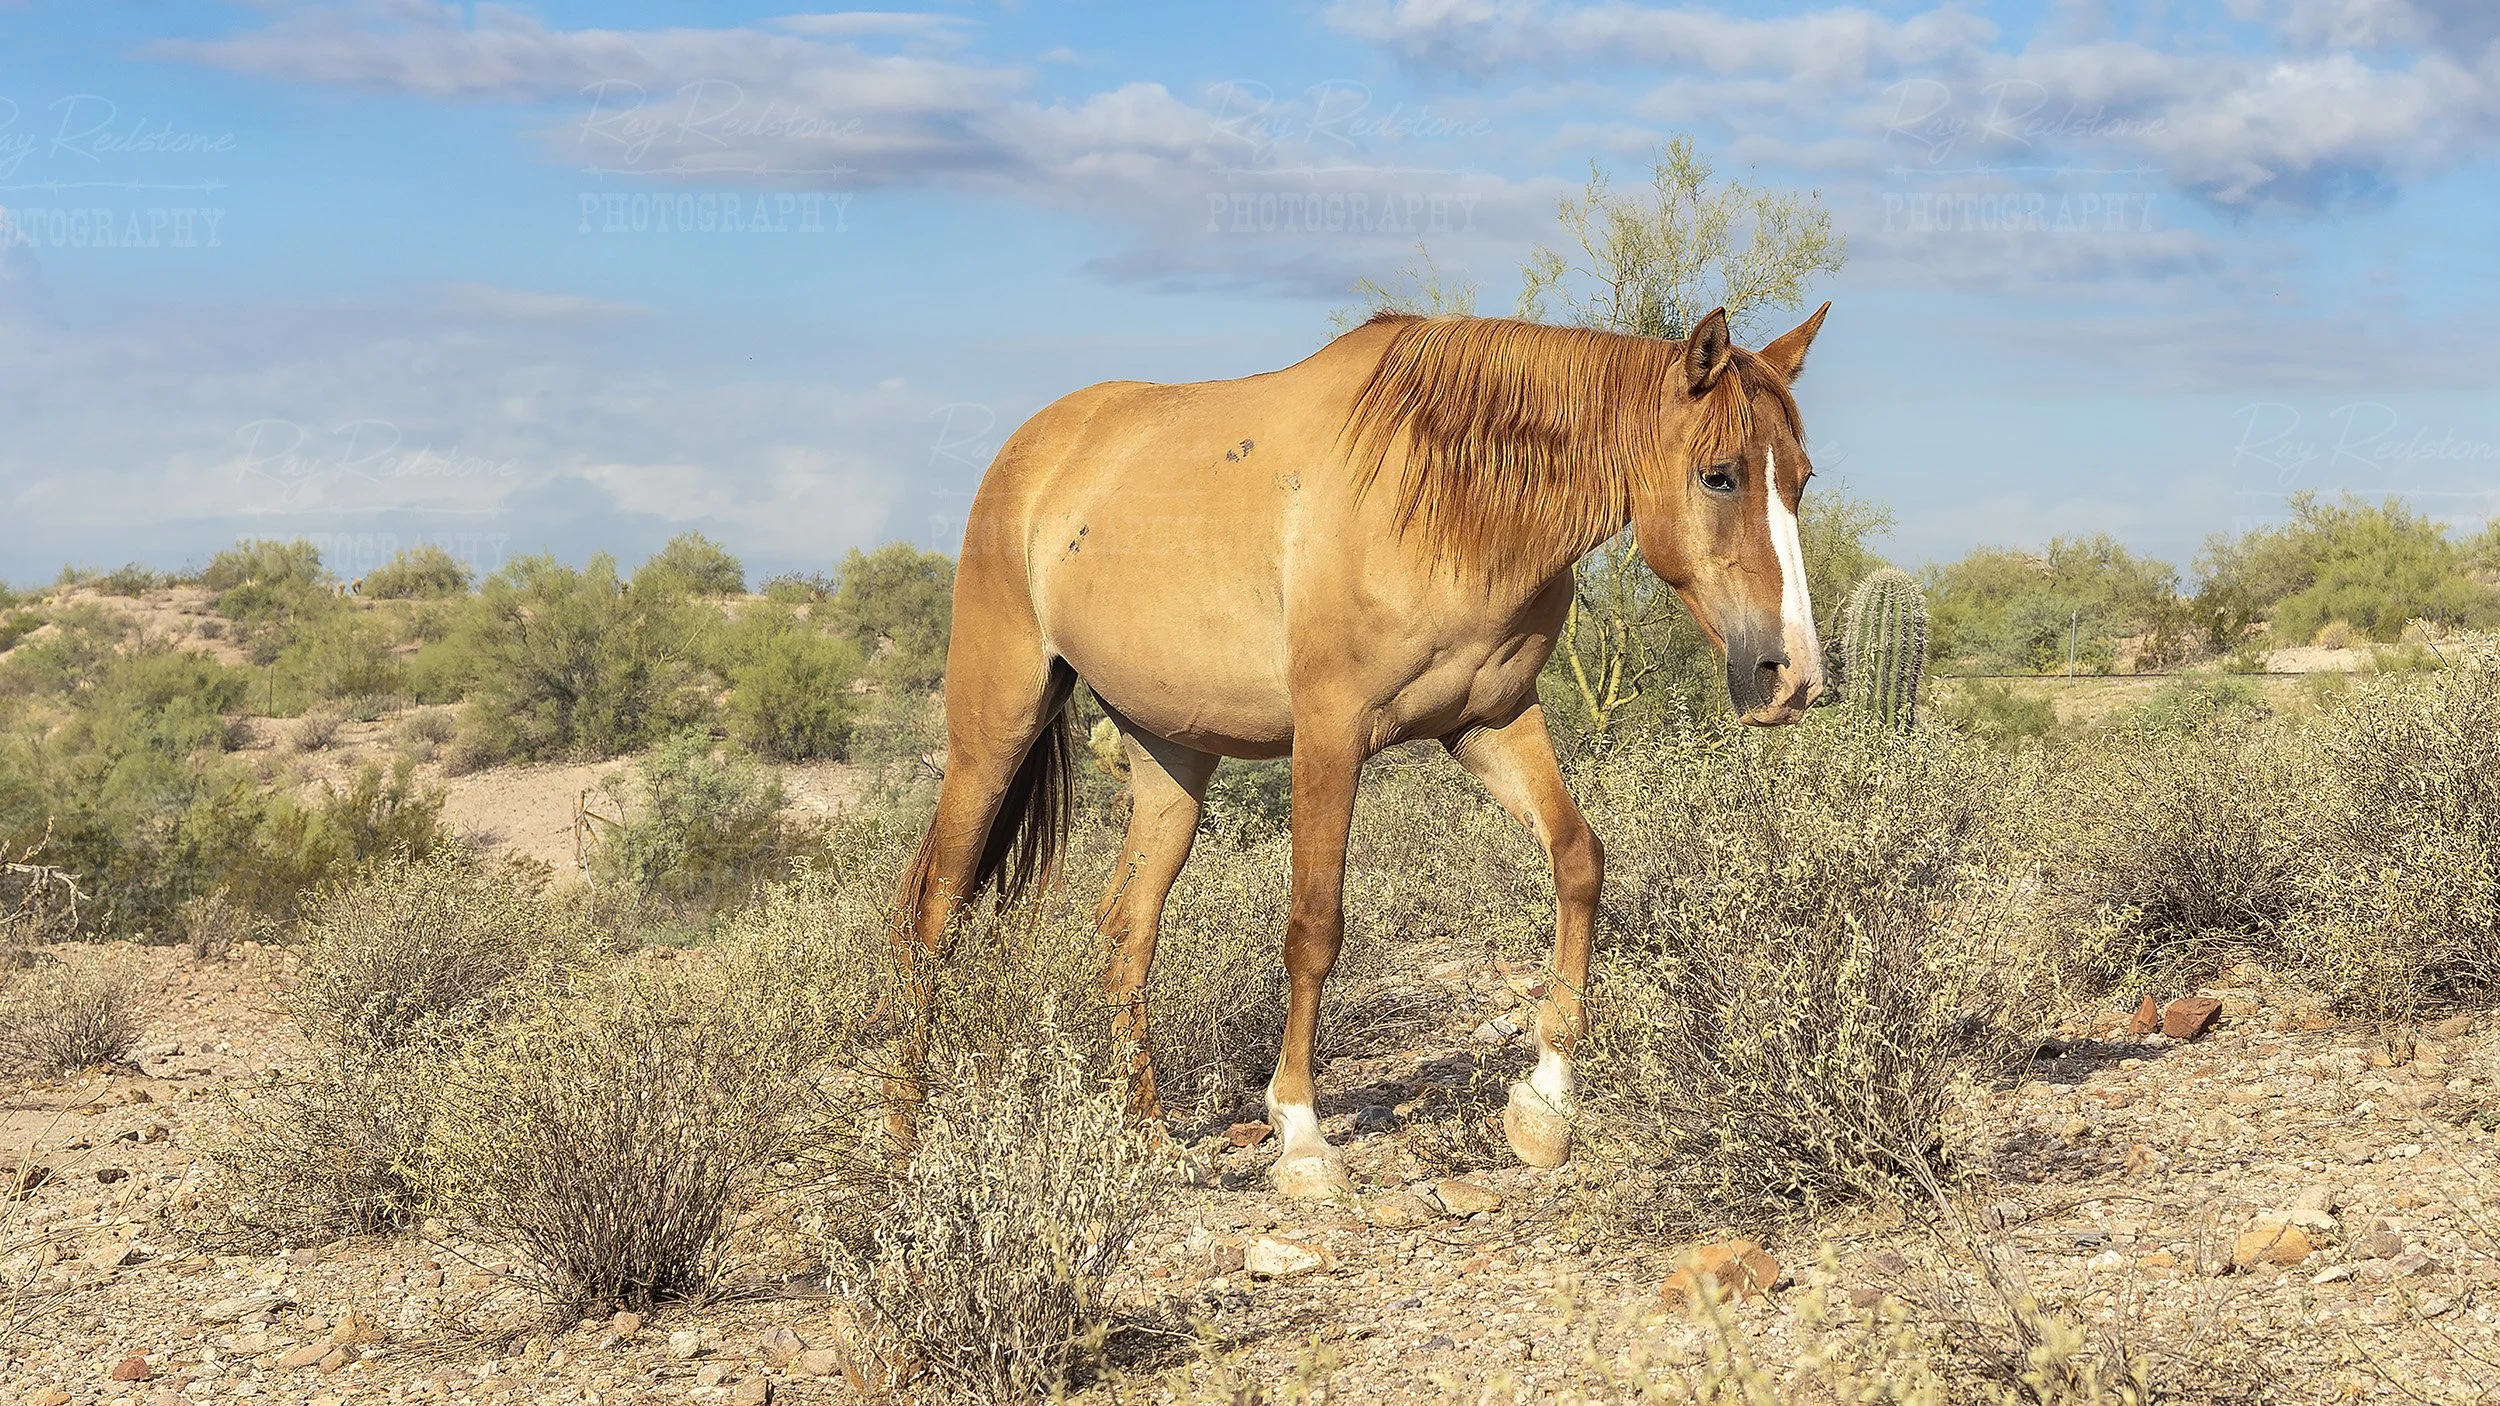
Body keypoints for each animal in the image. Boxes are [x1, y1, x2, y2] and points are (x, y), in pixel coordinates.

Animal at [899, 302, 1830, 1196]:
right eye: (1719, 474)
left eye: (1801, 480)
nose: (1793, 677)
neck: (1447, 498)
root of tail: (1035, 451)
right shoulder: (1330, 735)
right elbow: (1315, 926)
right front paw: (1301, 1136)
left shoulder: (1492, 721)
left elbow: (1578, 858)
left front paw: (1546, 1096)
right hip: (993, 733)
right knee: (934, 915)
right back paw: (910, 1129)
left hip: (1172, 759)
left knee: (1125, 930)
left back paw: (1149, 1138)